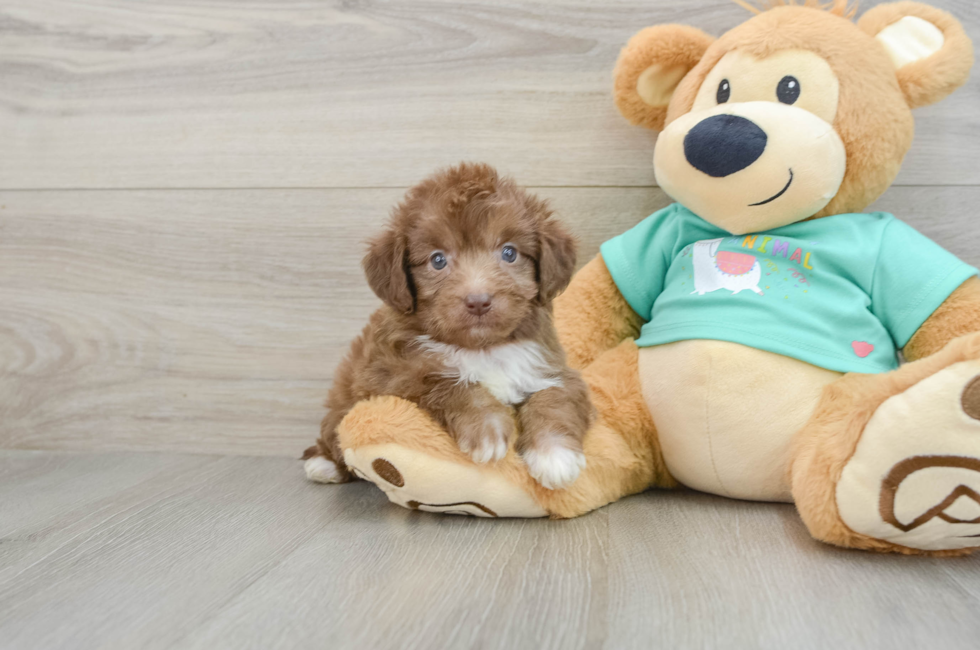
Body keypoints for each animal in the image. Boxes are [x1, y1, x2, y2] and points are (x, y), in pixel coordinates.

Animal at [306, 162, 592, 486]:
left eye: (509, 252)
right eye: (438, 260)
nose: (478, 301)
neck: (482, 348)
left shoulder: (552, 368)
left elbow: (555, 396)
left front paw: (554, 454)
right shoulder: (390, 375)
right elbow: (447, 381)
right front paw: (486, 427)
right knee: (333, 430)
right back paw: (324, 464)